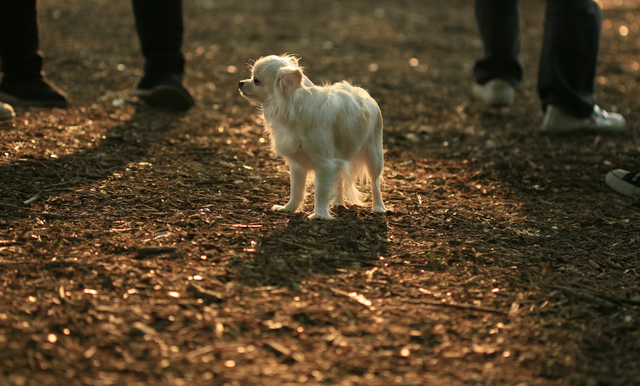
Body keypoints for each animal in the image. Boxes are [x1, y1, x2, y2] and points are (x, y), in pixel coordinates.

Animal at [236, 53, 382, 220]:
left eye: (256, 80)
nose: (240, 83)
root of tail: (362, 91)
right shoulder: (298, 164)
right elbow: (296, 190)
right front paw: (288, 208)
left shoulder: (325, 164)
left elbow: (320, 191)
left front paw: (319, 214)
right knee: (339, 178)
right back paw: (338, 203)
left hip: (374, 155)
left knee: (375, 182)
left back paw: (378, 207)